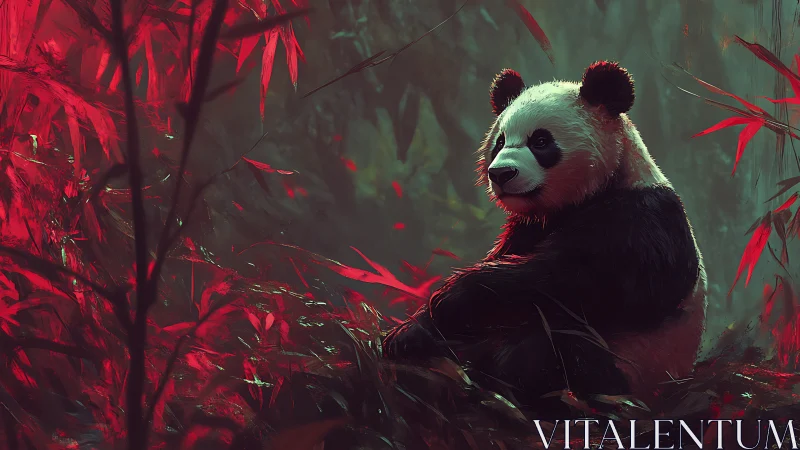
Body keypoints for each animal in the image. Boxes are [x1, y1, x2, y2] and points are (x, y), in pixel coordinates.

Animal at [382, 61, 707, 418]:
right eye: (499, 141)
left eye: (540, 141)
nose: (501, 174)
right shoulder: (527, 228)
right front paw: (407, 333)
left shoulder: (644, 223)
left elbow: (571, 282)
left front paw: (451, 298)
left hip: (634, 371)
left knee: (557, 345)